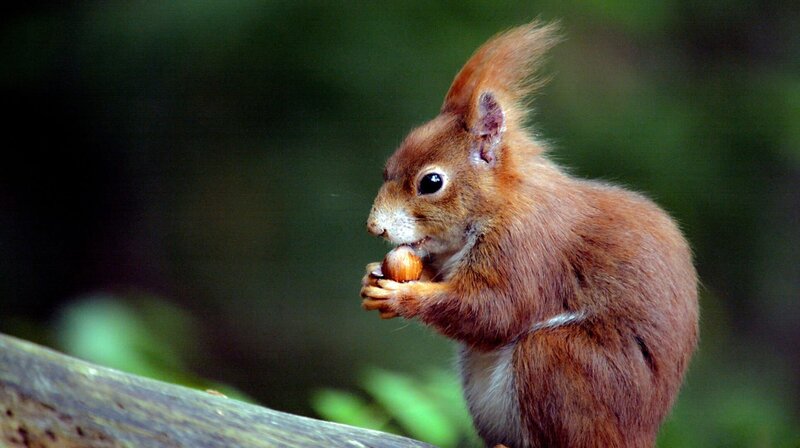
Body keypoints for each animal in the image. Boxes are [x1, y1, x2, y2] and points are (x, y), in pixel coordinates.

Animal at [360, 20, 698, 448]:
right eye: (387, 168)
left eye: (431, 182)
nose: (375, 227)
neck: (499, 204)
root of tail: (638, 437)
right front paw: (374, 276)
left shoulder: (526, 246)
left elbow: (496, 310)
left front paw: (403, 295)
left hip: (560, 362)